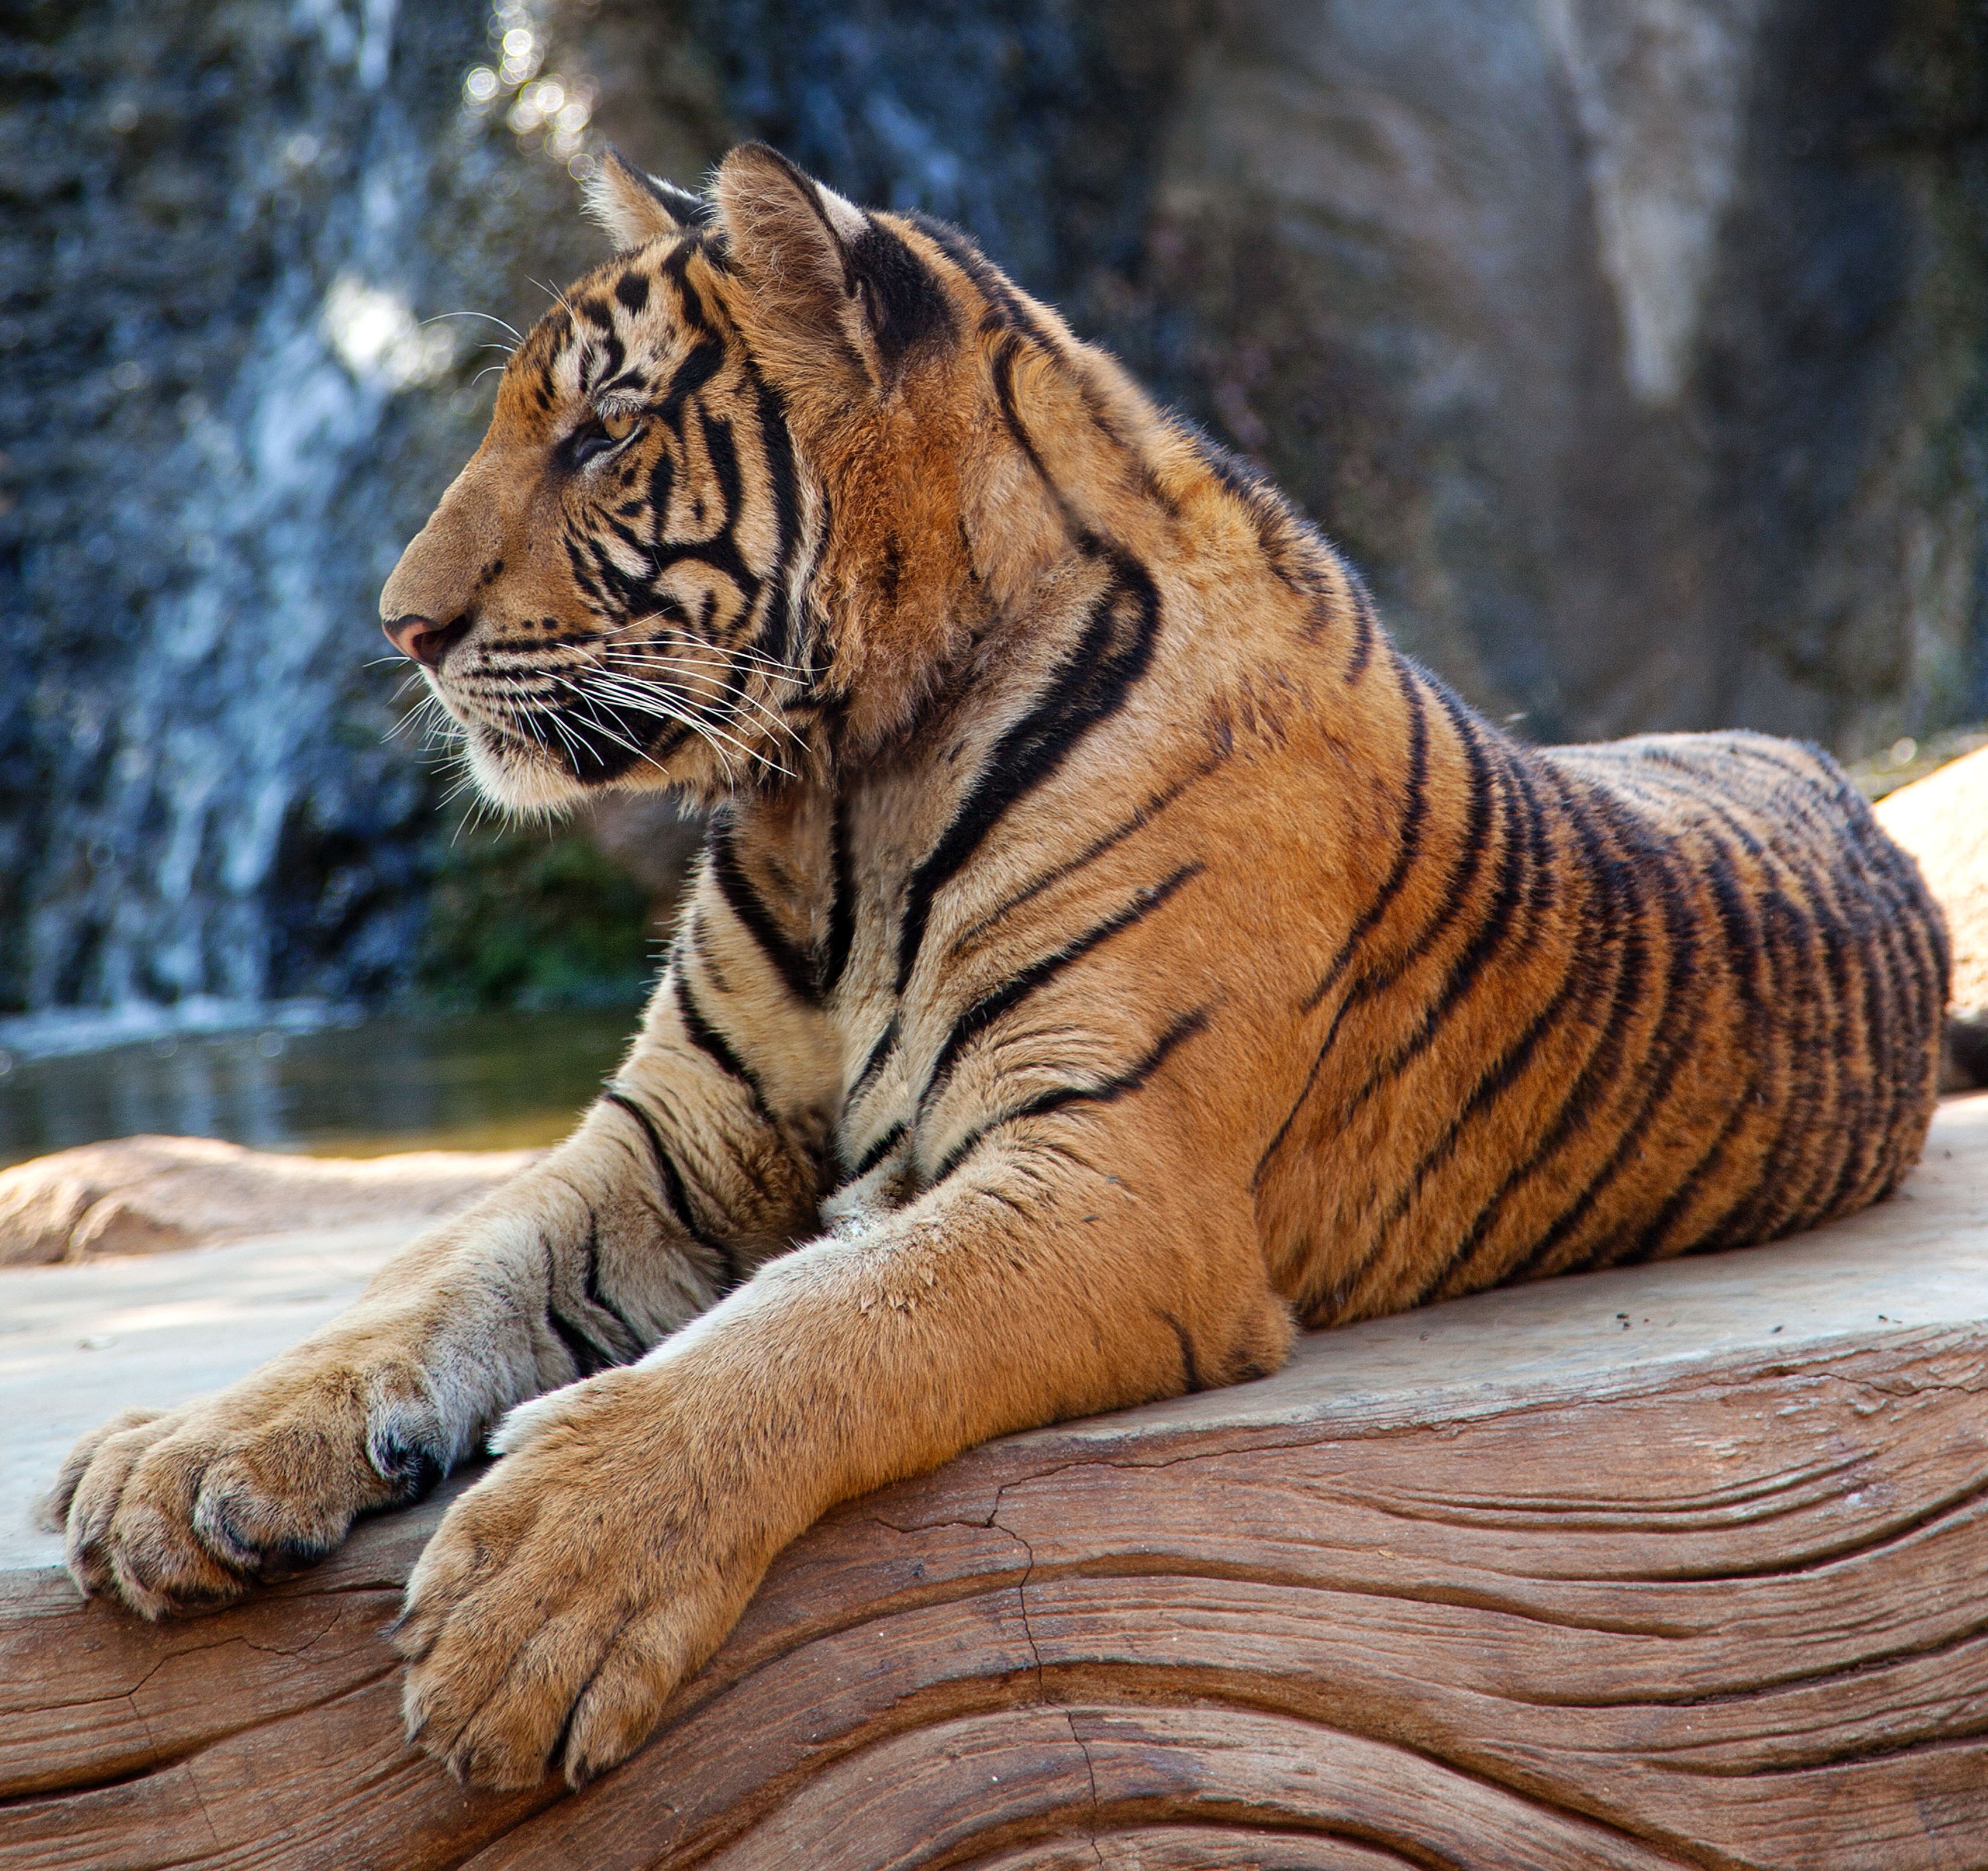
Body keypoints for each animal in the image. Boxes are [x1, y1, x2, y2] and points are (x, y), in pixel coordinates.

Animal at [46, 143, 1948, 1793]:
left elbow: (815, 1325)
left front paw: (539, 1589)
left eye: (602, 429)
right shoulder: (666, 1145)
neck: (838, 795)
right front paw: (184, 1455)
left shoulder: (1108, 1176)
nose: (400, 627)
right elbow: (427, 1281)